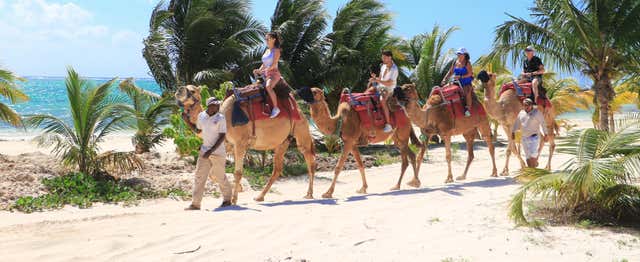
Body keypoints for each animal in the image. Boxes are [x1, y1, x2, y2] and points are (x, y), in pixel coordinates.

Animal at [175, 85, 318, 204]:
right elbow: (213, 173)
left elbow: (237, 172)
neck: (224, 116)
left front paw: (234, 199)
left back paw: (309, 194)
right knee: (277, 169)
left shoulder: (240, 143)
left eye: (192, 90)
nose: (179, 90)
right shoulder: (228, 145)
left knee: (310, 160)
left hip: (301, 129)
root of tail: (298, 108)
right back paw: (260, 196)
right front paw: (240, 188)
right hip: (283, 141)